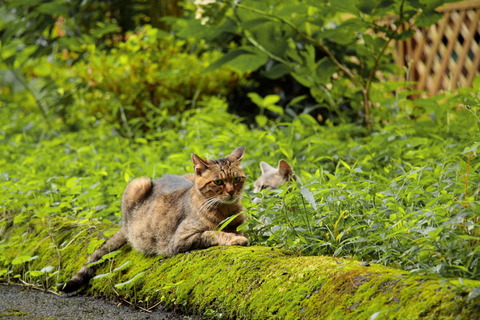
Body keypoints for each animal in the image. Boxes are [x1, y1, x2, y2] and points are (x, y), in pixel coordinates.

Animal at [60, 147, 248, 292]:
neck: (225, 211)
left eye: (236, 179)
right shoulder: (181, 240)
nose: (231, 192)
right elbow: (213, 233)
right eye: (218, 182)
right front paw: (235, 238)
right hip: (138, 183)